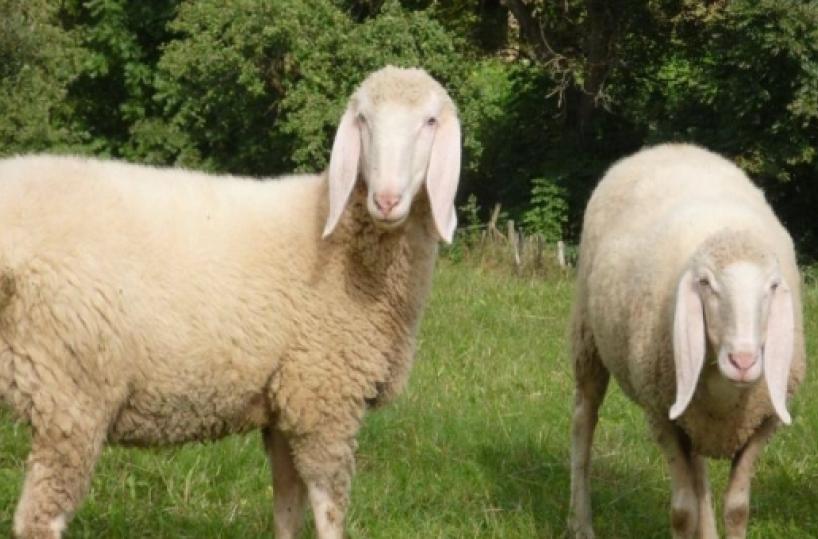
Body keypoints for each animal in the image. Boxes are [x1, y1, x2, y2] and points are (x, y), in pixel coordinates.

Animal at [0, 65, 461, 539]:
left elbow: (287, 506)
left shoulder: (284, 405)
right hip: (73, 387)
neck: (337, 239)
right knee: (39, 518)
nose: (385, 199)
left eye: (430, 121)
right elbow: (329, 510)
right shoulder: (323, 397)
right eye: (364, 120)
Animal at [568, 143, 805, 539]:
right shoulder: (660, 413)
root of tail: (669, 146)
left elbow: (737, 509)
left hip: (688, 403)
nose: (743, 361)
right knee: (583, 423)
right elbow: (682, 511)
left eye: (772, 286)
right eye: (706, 283)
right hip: (589, 339)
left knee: (700, 473)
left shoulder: (764, 420)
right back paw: (581, 522)